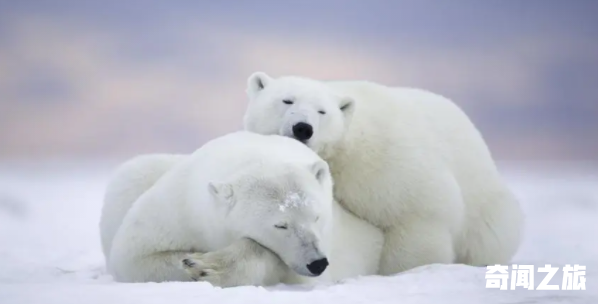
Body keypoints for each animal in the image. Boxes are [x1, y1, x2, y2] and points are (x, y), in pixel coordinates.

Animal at [99, 131, 384, 288]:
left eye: (317, 216)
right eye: (281, 225)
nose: (317, 262)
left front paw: (207, 266)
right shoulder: (179, 208)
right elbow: (135, 256)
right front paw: (195, 263)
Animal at [243, 72, 524, 276]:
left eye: (322, 111)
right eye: (287, 100)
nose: (303, 128)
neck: (345, 151)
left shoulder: (386, 165)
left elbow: (417, 215)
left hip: (485, 207)